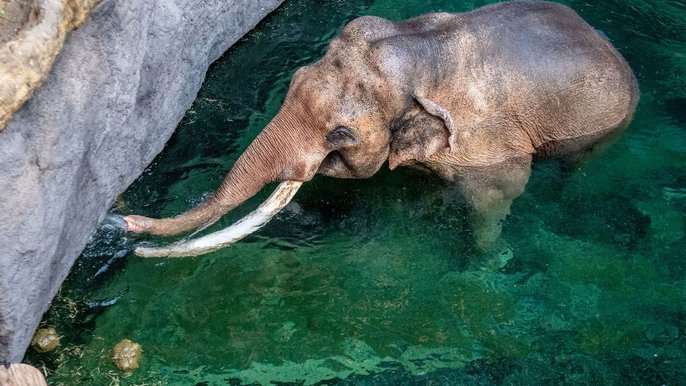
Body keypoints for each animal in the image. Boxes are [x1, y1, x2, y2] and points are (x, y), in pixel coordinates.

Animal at [118, 3, 640, 258]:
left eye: (339, 136)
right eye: (294, 80)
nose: (125, 226)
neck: (420, 46)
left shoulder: (490, 145)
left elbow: (498, 195)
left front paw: (489, 259)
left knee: (579, 166)